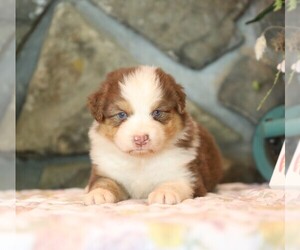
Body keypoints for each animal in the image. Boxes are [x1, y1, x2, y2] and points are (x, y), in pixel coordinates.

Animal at [84, 65, 223, 204]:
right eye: (122, 114)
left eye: (157, 112)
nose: (140, 139)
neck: (141, 160)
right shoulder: (107, 170)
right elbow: (103, 182)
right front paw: (98, 193)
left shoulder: (187, 173)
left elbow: (175, 182)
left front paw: (165, 193)